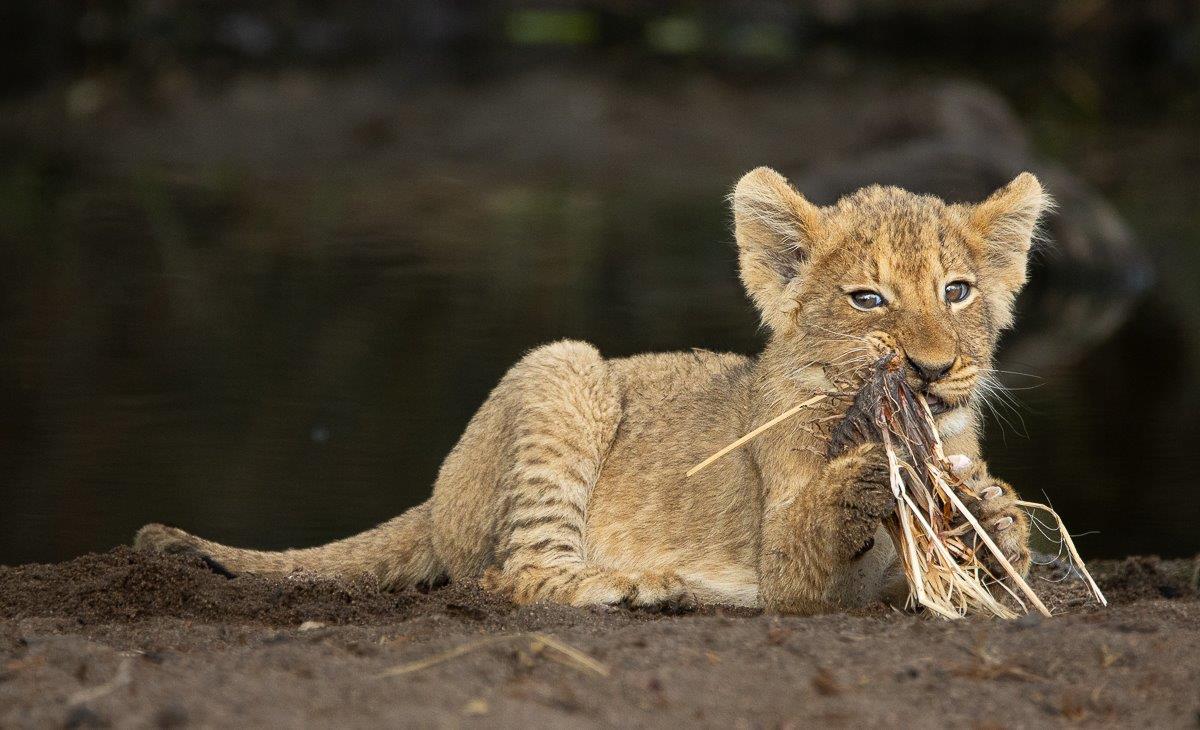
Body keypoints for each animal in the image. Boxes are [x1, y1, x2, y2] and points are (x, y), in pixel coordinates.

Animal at [136, 167, 1049, 614]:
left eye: (958, 292)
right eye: (868, 300)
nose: (932, 370)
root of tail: (434, 495)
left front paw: (997, 515)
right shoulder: (790, 571)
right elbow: (811, 546)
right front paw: (872, 473)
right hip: (565, 367)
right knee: (517, 576)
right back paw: (642, 586)